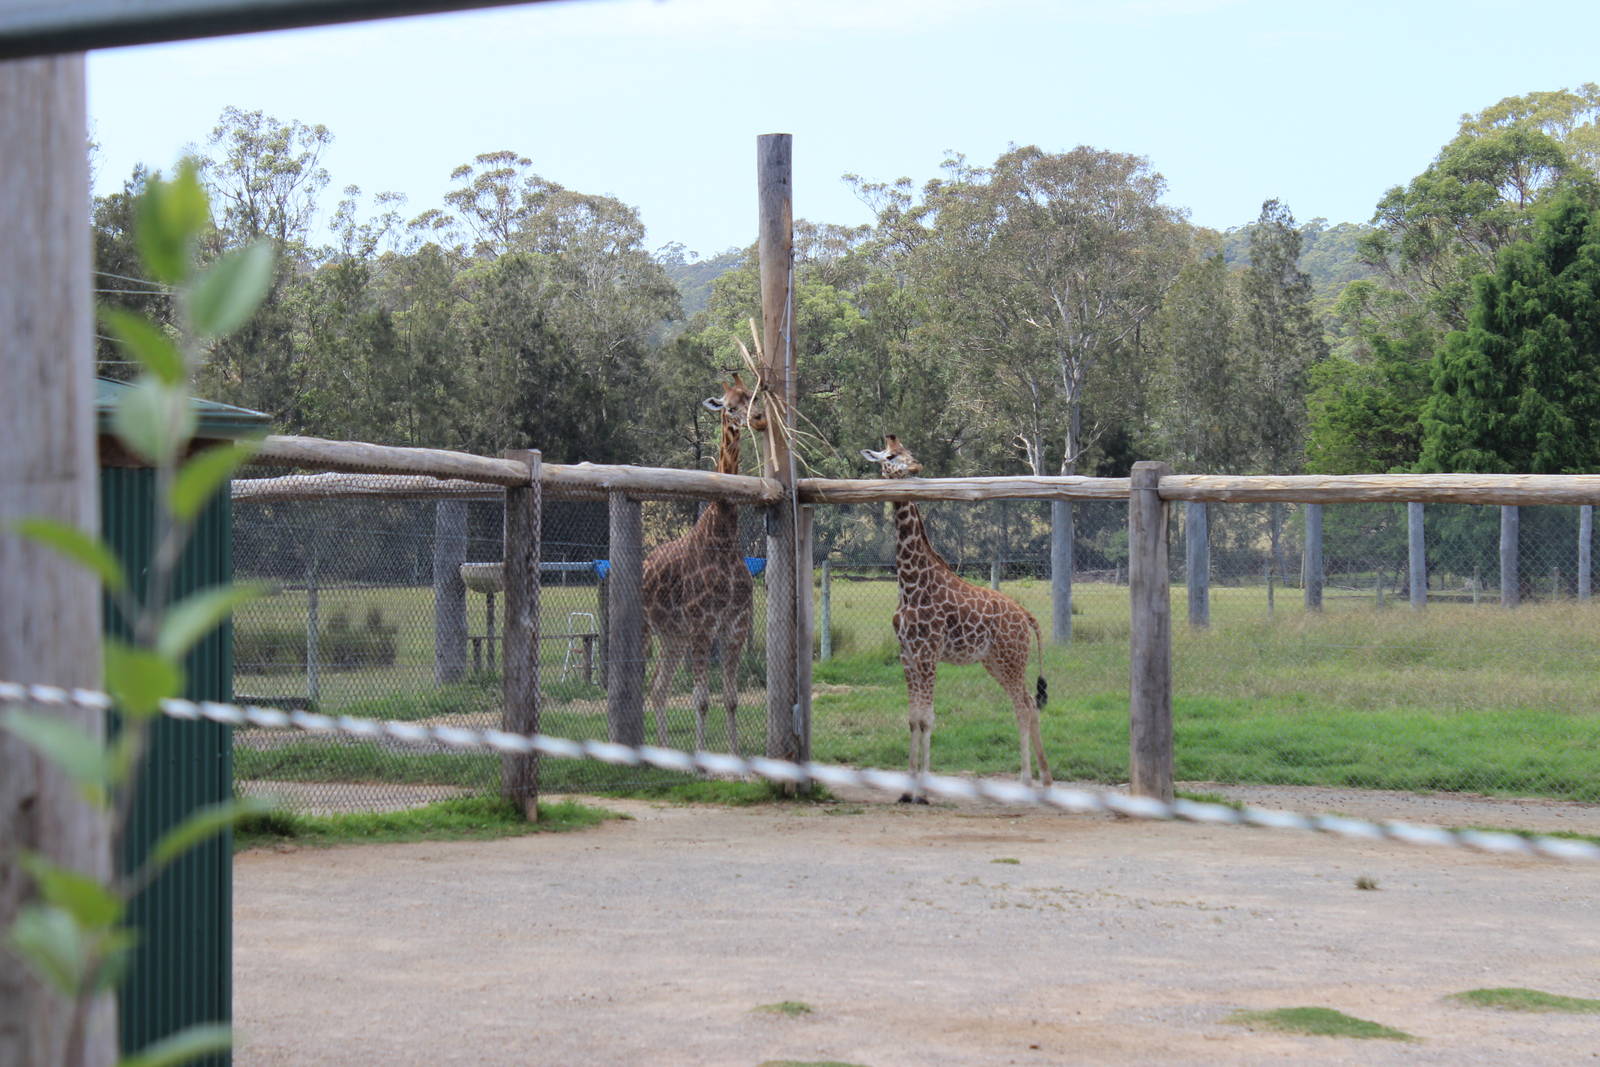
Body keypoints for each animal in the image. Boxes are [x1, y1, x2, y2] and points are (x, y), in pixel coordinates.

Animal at [641, 374, 766, 754]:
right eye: (730, 406)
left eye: (753, 397)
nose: (758, 420)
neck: (722, 537)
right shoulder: (702, 624)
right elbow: (701, 700)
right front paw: (701, 756)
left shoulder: (735, 624)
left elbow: (731, 698)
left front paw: (735, 754)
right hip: (650, 630)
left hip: (673, 636)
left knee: (658, 687)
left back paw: (663, 752)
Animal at [860, 435, 1052, 802]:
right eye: (890, 456)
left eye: (909, 453)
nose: (916, 466)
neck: (910, 582)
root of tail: (1026, 615)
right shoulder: (907, 654)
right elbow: (913, 718)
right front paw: (906, 790)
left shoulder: (928, 652)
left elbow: (928, 719)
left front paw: (923, 790)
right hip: (994, 661)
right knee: (1027, 704)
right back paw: (1044, 780)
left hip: (1011, 659)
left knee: (1024, 705)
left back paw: (1026, 781)